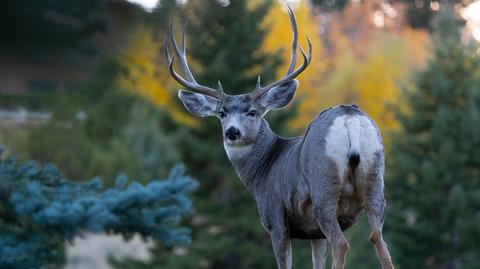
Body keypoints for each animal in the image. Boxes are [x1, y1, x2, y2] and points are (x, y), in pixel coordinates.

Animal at [163, 5, 396, 268]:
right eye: (222, 113)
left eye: (252, 112)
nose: (232, 132)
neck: (261, 171)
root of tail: (349, 118)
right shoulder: (313, 232)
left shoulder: (275, 217)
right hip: (375, 182)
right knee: (378, 239)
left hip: (324, 189)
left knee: (342, 243)